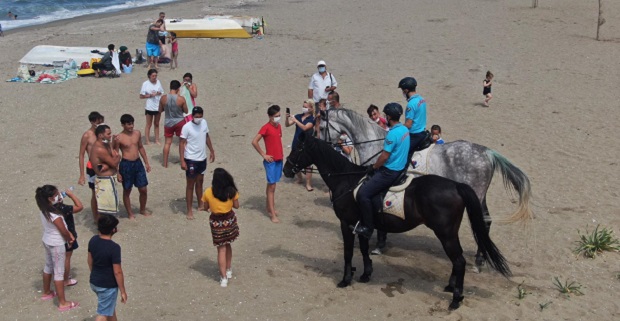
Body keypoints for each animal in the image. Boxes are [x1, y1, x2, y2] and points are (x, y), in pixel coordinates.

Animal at [284, 132, 512, 308]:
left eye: (297, 149)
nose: (285, 169)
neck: (346, 180)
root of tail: (456, 186)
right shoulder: (362, 225)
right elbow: (364, 249)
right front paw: (366, 274)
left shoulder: (346, 223)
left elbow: (348, 253)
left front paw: (346, 279)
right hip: (450, 232)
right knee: (457, 260)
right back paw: (451, 286)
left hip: (445, 233)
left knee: (459, 261)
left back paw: (456, 298)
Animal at [320, 107, 532, 270]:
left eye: (321, 127)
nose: (323, 143)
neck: (378, 144)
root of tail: (486, 152)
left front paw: (379, 244)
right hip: (479, 195)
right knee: (486, 221)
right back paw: (480, 258)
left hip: (476, 195)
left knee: (482, 223)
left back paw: (479, 261)